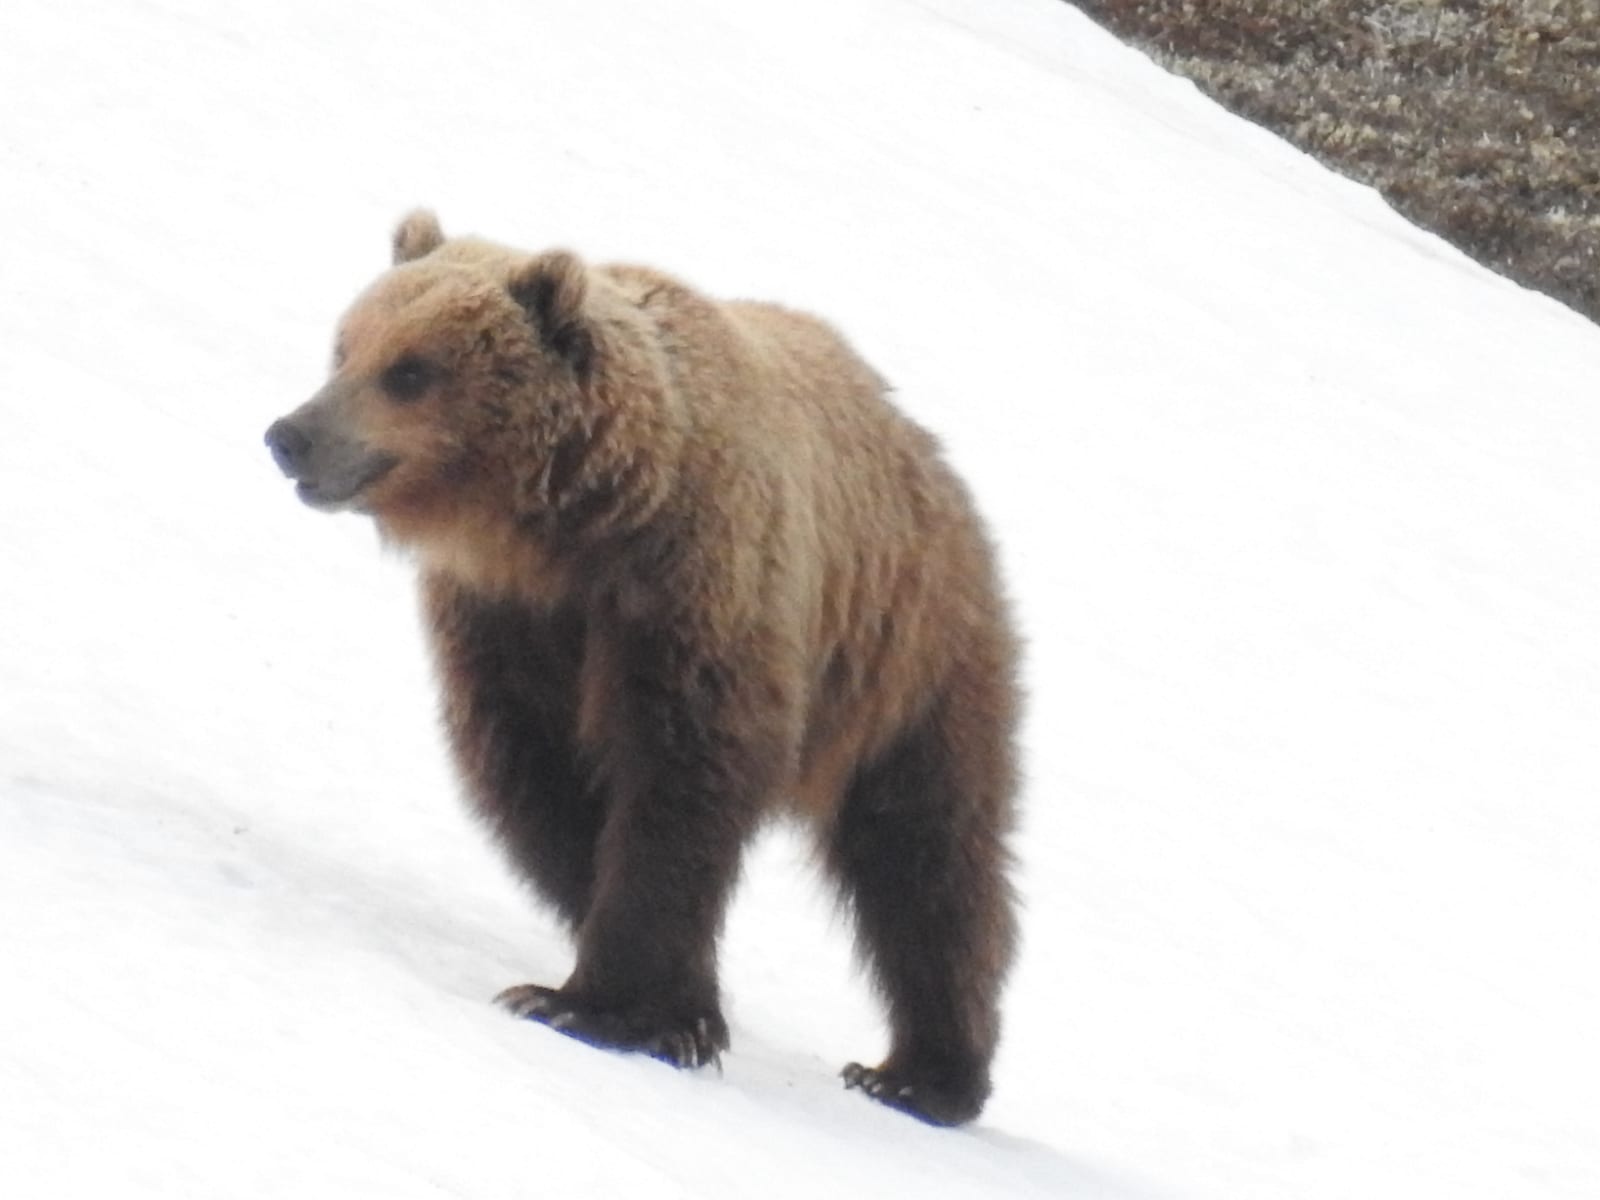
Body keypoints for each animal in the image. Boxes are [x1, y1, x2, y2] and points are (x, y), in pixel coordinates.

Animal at [264, 211, 1020, 1126]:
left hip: (906, 657)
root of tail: (929, 456)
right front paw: (679, 1007)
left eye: (411, 369)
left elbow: (678, 784)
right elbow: (546, 790)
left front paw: (593, 1006)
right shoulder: (510, 628)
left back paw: (924, 1073)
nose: (291, 435)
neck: (567, 532)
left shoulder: (688, 595)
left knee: (926, 857)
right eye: (346, 346)